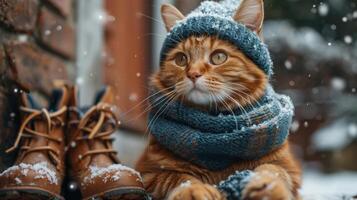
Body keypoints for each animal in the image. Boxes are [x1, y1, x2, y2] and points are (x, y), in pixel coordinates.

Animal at [136, 0, 300, 199]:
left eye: (219, 56)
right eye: (181, 59)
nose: (193, 74)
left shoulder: (289, 168)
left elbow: (273, 169)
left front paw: (267, 185)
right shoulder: (148, 173)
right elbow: (179, 178)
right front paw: (194, 190)